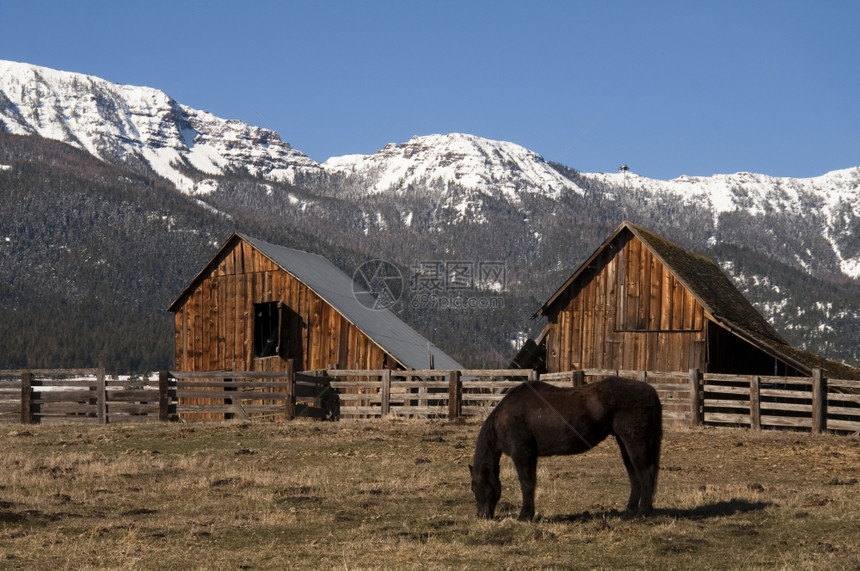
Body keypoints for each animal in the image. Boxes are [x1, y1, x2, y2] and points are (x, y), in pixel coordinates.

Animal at [474, 378, 660, 520]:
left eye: (476, 487)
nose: (482, 516)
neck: (504, 417)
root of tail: (650, 390)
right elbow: (531, 483)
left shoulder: (522, 454)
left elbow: (527, 484)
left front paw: (524, 516)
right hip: (625, 443)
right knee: (635, 476)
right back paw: (629, 513)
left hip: (635, 442)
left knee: (646, 474)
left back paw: (642, 513)